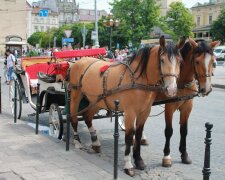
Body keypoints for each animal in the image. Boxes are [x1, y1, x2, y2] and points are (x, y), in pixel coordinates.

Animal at [68, 36, 183, 176]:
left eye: (180, 61)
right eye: (162, 60)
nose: (171, 89)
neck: (138, 79)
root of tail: (79, 61)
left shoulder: (145, 111)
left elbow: (138, 134)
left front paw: (138, 160)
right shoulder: (130, 112)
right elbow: (129, 137)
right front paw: (128, 165)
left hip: (96, 100)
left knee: (87, 116)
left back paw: (95, 142)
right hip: (76, 95)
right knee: (73, 117)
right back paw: (77, 141)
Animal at [153, 37, 220, 167]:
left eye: (213, 62)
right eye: (197, 61)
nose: (206, 89)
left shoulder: (187, 106)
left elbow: (184, 131)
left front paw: (184, 154)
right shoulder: (169, 107)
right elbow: (169, 131)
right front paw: (166, 156)